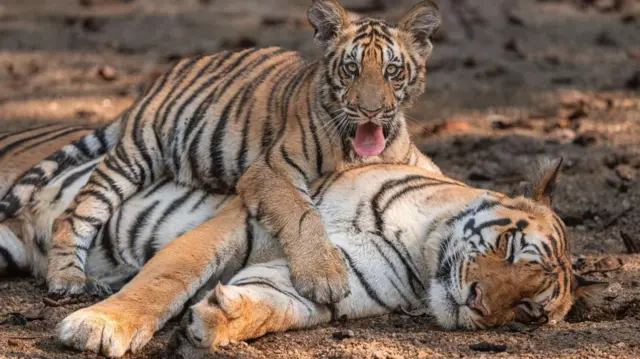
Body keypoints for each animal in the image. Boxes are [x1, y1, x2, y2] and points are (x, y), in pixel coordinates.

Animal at [0, 0, 442, 304]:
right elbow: (302, 215)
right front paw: (324, 276)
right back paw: (68, 279)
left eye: (392, 71)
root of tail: (162, 78)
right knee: (77, 213)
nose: (371, 110)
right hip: (135, 155)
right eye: (351, 69)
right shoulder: (270, 169)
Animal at [45, 161, 600, 359]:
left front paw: (215, 322)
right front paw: (99, 327)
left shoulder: (336, 282)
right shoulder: (240, 220)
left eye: (527, 312)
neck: (420, 250)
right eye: (509, 248)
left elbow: (271, 304)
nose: (480, 305)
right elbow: (166, 277)